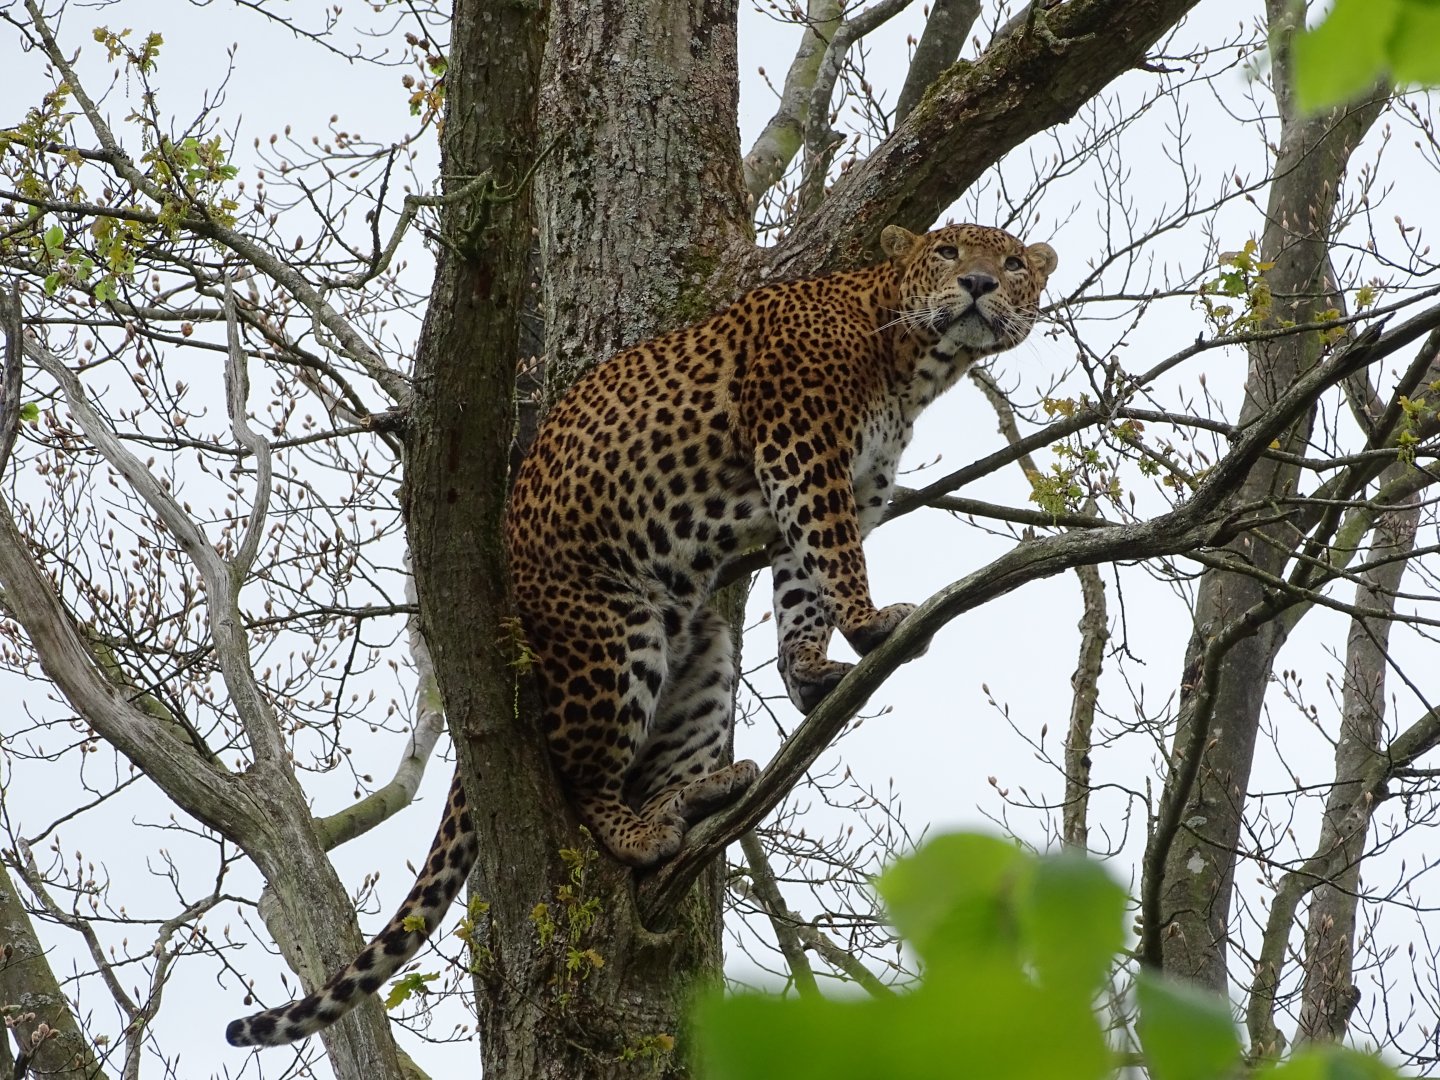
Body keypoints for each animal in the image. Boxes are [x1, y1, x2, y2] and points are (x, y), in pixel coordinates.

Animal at [225, 222, 1057, 1047]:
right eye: (948, 252)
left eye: (1013, 262)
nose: (980, 283)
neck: (914, 360)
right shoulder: (803, 450)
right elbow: (834, 554)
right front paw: (870, 621)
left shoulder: (847, 486)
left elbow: (801, 588)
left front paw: (809, 670)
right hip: (613, 635)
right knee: (583, 782)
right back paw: (638, 831)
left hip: (706, 657)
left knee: (652, 769)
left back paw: (698, 793)